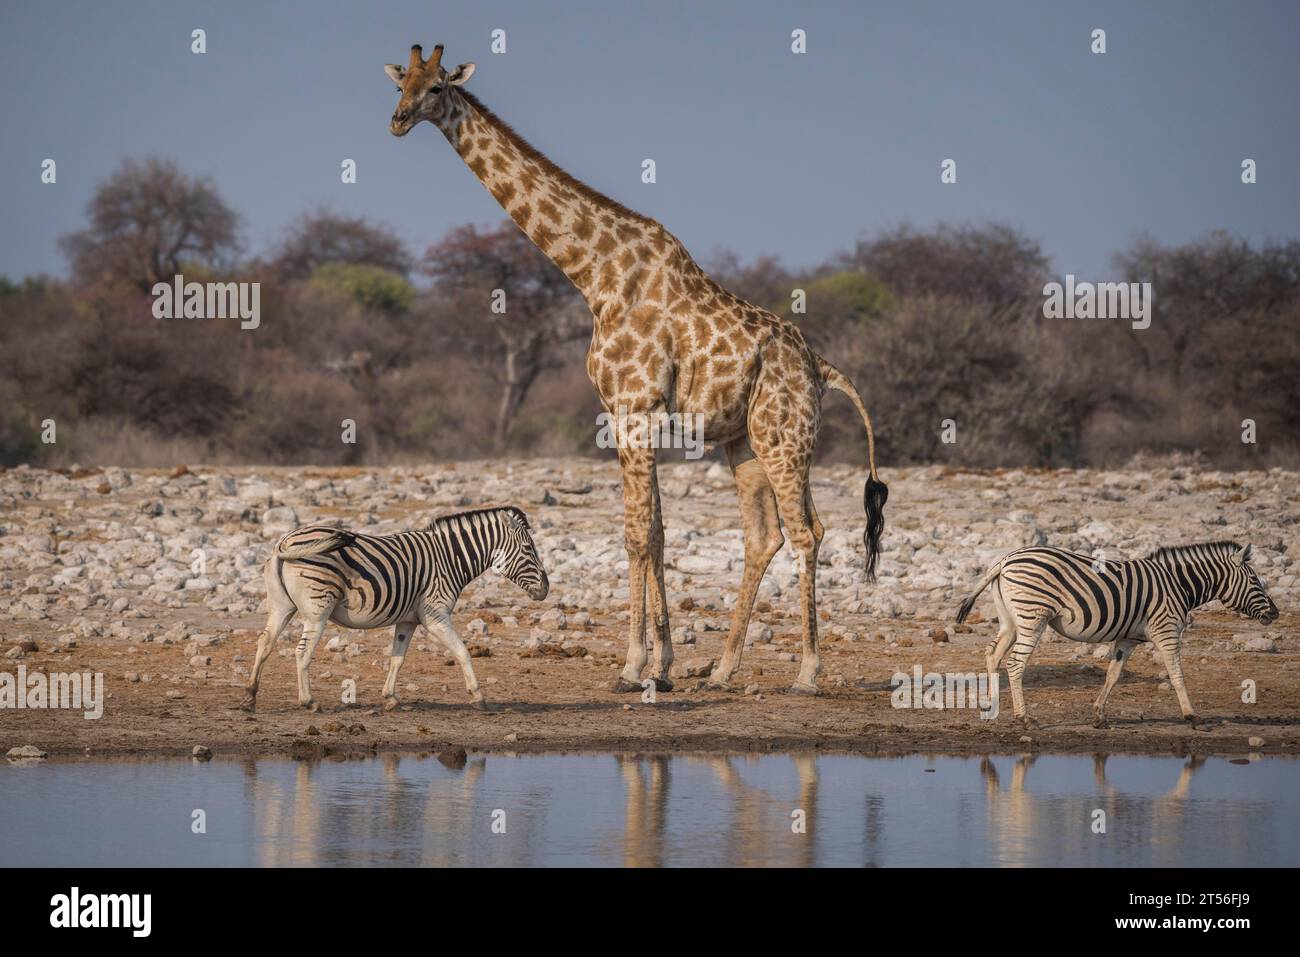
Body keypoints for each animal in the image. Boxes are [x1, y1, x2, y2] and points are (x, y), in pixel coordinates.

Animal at [240, 505, 548, 713]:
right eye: (528, 549)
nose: (546, 589)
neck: (450, 559)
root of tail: (285, 541)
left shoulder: (408, 620)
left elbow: (397, 658)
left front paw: (390, 698)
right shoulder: (435, 614)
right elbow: (463, 652)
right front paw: (478, 696)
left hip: (281, 606)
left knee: (264, 643)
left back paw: (250, 697)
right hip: (318, 609)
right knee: (301, 652)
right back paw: (309, 702)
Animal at [385, 42, 888, 694]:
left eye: (438, 87)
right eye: (402, 82)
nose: (398, 120)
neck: (595, 275)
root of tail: (821, 367)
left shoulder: (633, 406)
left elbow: (634, 531)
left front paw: (630, 666)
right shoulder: (623, 412)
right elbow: (655, 530)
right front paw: (664, 666)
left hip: (785, 435)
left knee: (805, 532)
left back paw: (806, 672)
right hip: (746, 441)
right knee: (768, 535)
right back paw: (721, 670)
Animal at [955, 541, 1278, 728]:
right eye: (1255, 581)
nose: (1275, 614)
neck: (1178, 584)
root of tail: (1005, 560)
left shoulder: (1128, 638)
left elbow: (1113, 674)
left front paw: (1099, 714)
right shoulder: (1166, 629)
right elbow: (1176, 673)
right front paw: (1191, 715)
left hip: (1011, 619)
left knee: (993, 655)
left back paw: (991, 707)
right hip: (1033, 616)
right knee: (1014, 663)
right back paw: (1024, 717)